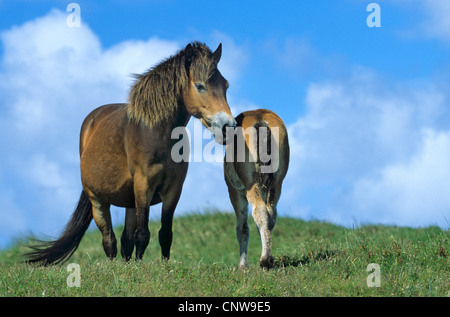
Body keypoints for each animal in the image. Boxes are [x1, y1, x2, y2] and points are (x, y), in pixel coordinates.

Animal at [27, 42, 236, 264]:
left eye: (225, 86)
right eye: (200, 86)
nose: (228, 127)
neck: (157, 134)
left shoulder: (173, 189)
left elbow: (165, 234)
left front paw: (162, 265)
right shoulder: (144, 184)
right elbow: (143, 234)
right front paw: (141, 266)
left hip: (130, 201)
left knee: (125, 238)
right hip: (98, 200)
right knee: (109, 238)